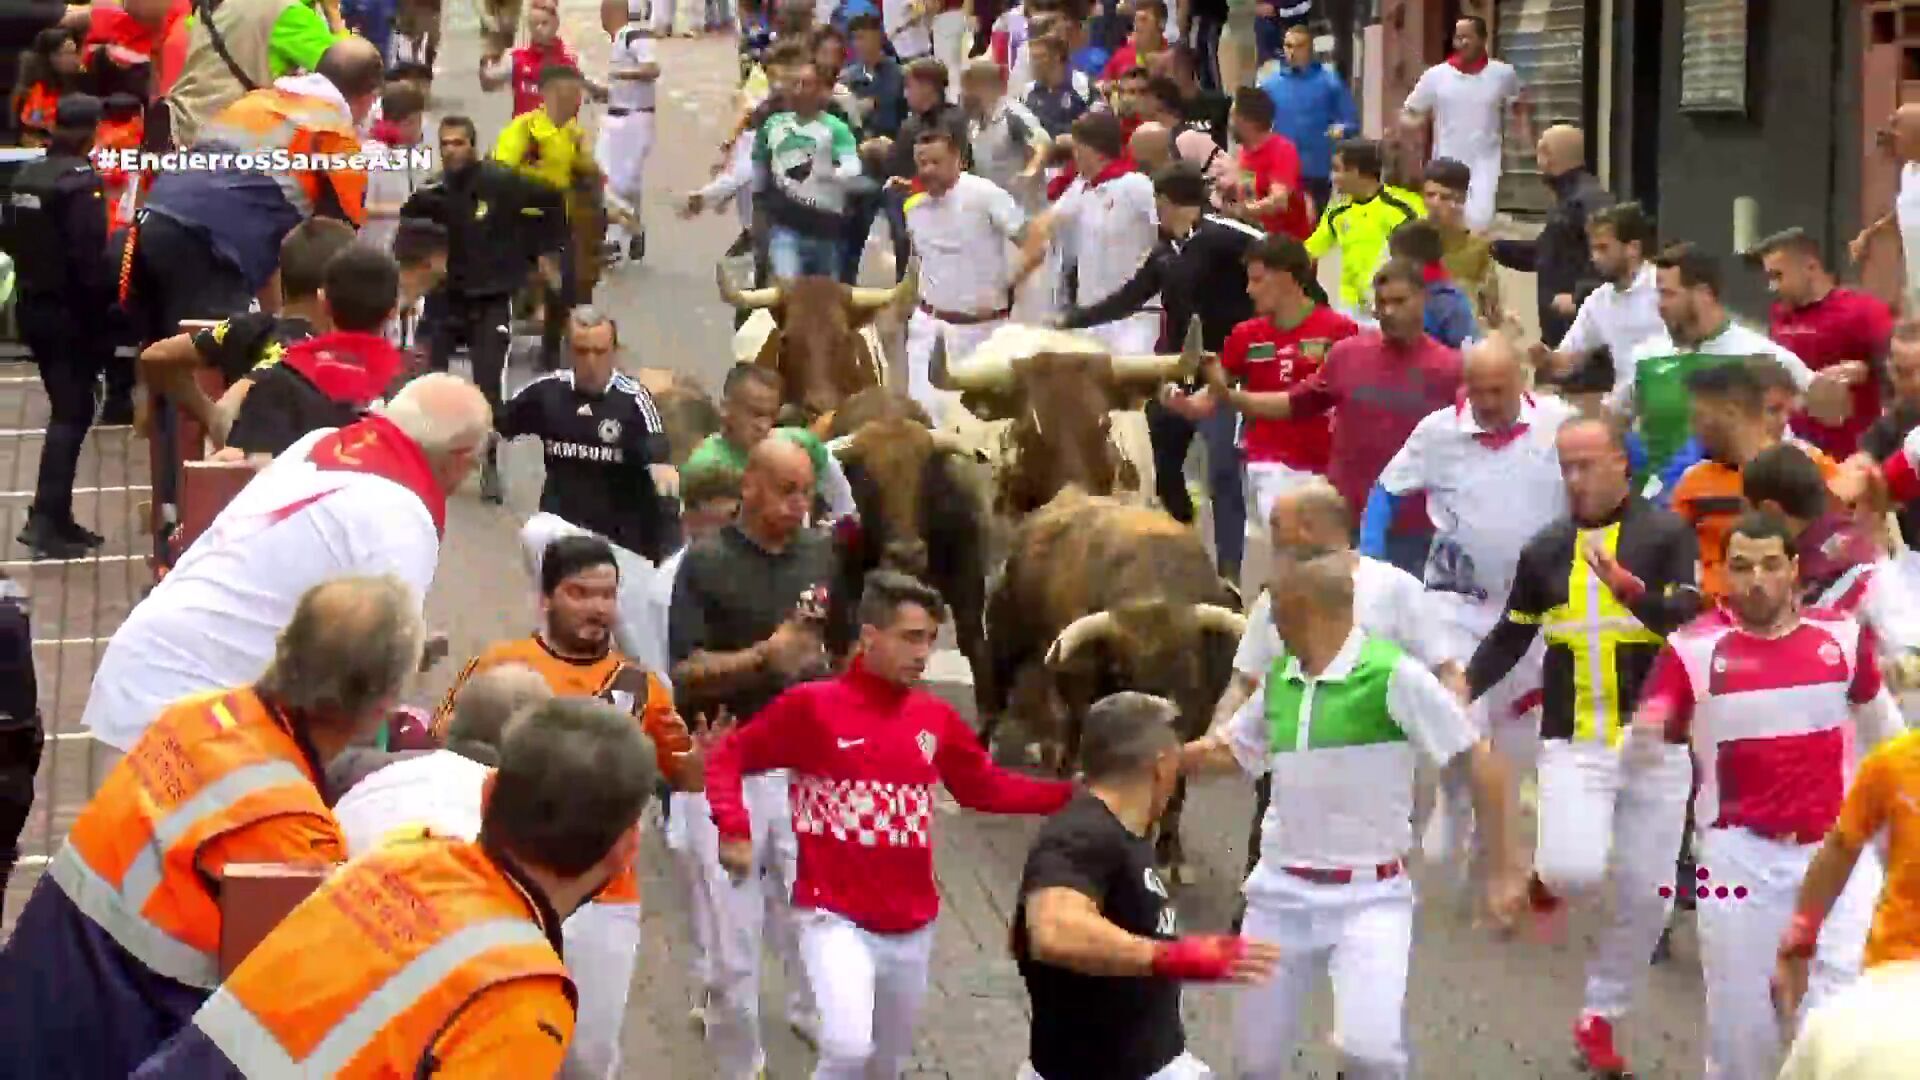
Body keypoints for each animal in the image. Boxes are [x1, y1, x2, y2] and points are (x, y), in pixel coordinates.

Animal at [990, 488, 1244, 876]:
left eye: (1190, 668)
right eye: (1124, 670)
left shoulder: (1197, 720)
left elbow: (1175, 790)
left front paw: (1170, 854)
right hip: (1006, 637)